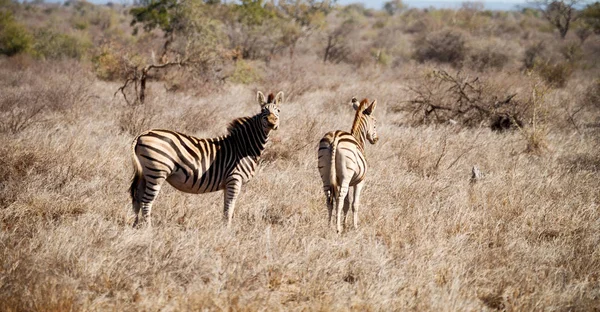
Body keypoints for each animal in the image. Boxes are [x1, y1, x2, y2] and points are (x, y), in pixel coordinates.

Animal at [129, 90, 284, 227]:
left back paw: (136, 227)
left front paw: (224, 229)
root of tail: (142, 134)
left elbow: (226, 209)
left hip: (145, 173)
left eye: (278, 111)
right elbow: (229, 210)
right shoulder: (235, 179)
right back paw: (148, 229)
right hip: (157, 172)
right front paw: (227, 232)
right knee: (146, 202)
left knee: (137, 198)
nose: (272, 123)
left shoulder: (227, 184)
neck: (244, 147)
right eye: (263, 112)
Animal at [316, 98, 378, 234]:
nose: (376, 139)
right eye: (375, 123)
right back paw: (337, 229)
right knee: (339, 198)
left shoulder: (344, 182)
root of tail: (335, 137)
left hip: (325, 175)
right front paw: (354, 227)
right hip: (346, 174)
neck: (358, 139)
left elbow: (347, 204)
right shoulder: (359, 181)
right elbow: (354, 204)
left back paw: (329, 226)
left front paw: (344, 225)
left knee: (329, 198)